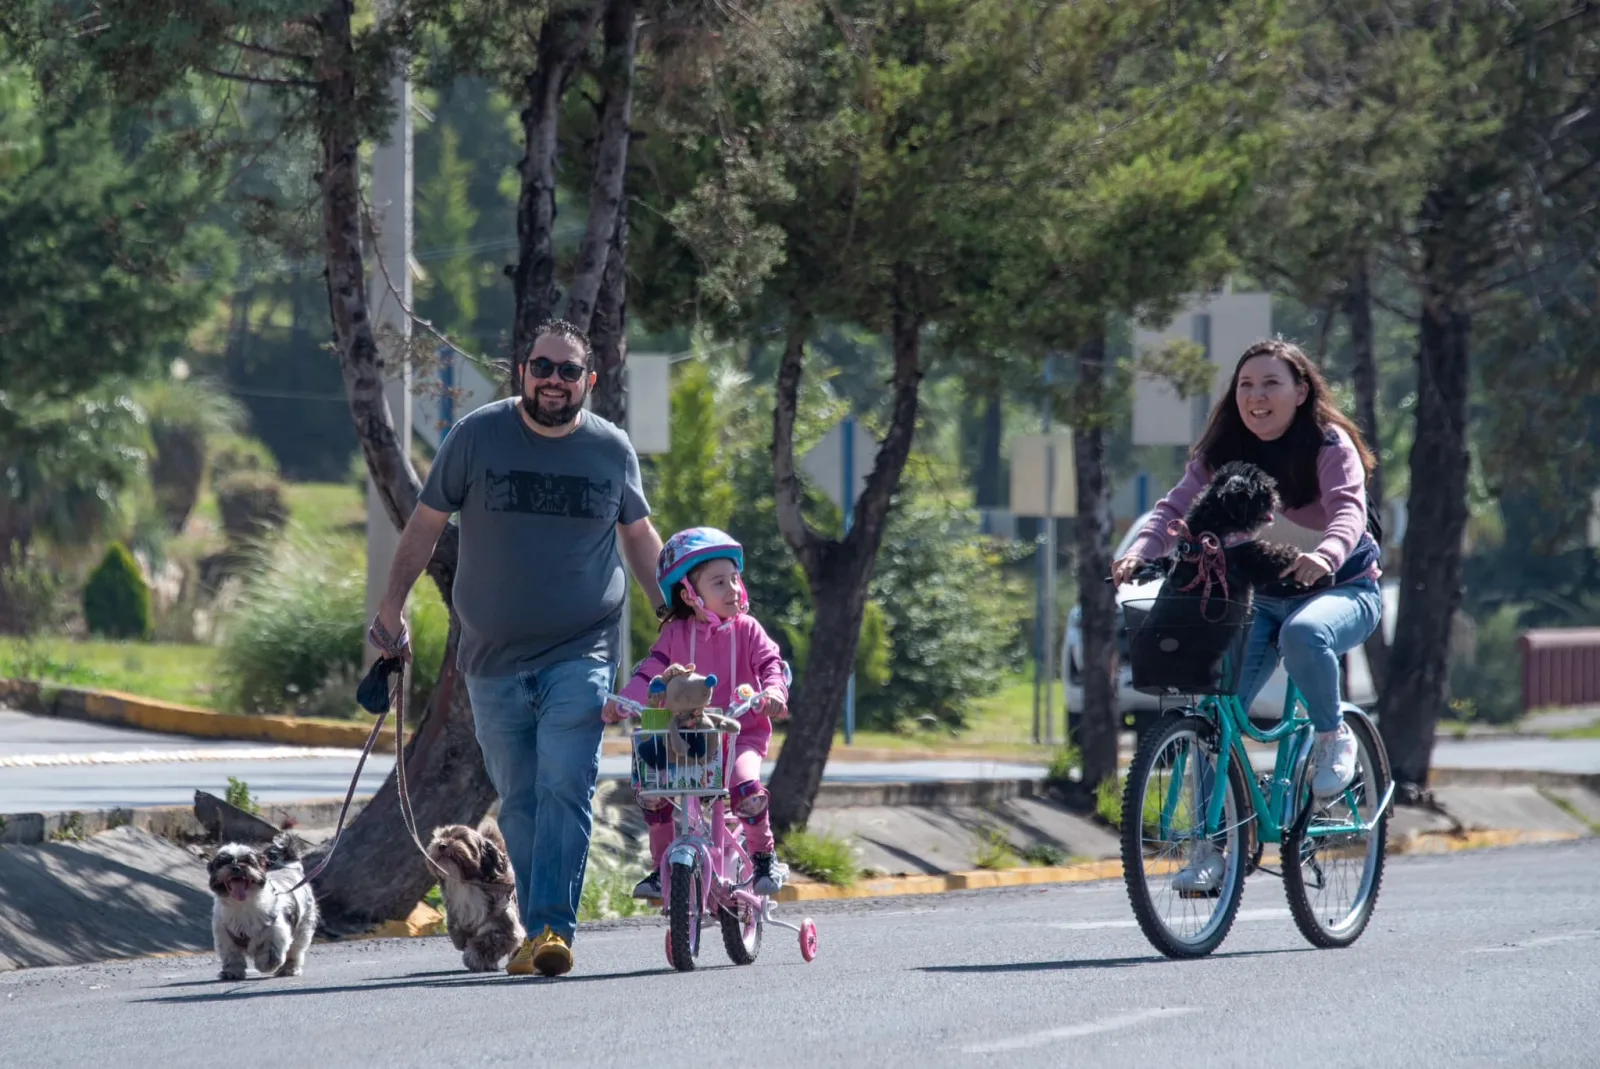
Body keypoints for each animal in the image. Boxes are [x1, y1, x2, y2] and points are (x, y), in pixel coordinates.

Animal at [206, 832, 318, 979]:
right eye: (223, 863)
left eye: (248, 861)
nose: (236, 867)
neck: (243, 904)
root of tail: (288, 867)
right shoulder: (225, 934)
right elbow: (232, 955)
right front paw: (232, 972)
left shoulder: (276, 930)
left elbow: (271, 952)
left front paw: (265, 965)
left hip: (303, 927)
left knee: (296, 950)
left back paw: (289, 968)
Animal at [425, 819, 524, 966]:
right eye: (439, 837)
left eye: (462, 839)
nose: (441, 845)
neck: (467, 884)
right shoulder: (457, 922)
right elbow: (460, 939)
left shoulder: (503, 925)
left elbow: (487, 941)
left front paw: (475, 957)